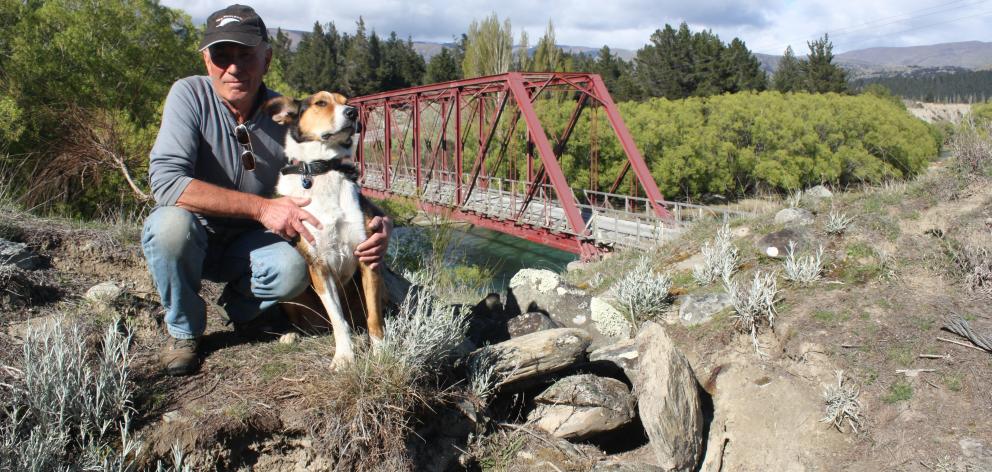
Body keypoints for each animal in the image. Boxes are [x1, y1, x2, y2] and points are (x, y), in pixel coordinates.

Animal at [266, 89, 386, 368]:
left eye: (346, 102)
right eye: (321, 103)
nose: (353, 112)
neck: (321, 171)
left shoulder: (367, 257)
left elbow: (374, 318)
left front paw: (381, 352)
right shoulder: (319, 266)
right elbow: (338, 321)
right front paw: (344, 357)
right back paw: (291, 334)